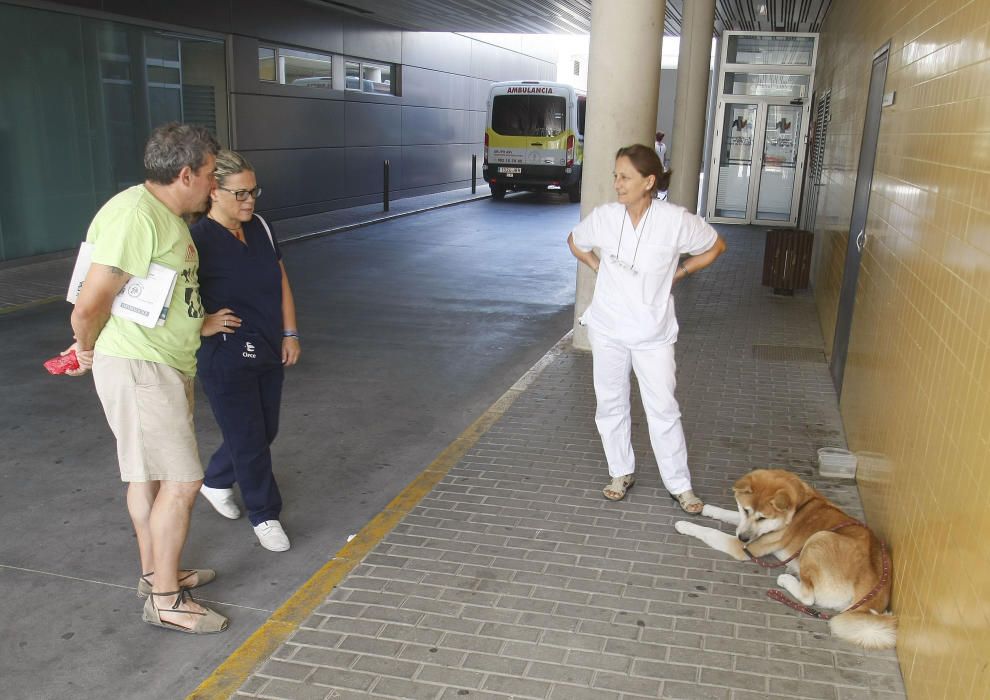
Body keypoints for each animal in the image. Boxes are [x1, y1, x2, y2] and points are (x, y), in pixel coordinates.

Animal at [680, 468, 896, 648]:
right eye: (746, 510)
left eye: (763, 518)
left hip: (819, 538)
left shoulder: (743, 548)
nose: (743, 538)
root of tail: (872, 596)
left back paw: (787, 578)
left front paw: (685, 525)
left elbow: (710, 532)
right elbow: (731, 516)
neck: (798, 508)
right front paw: (709, 509)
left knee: (809, 598)